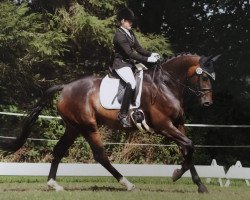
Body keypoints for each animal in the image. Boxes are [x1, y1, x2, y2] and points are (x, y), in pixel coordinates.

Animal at [0, 52, 220, 192]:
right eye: (204, 78)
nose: (208, 103)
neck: (165, 85)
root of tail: (66, 87)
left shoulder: (178, 124)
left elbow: (188, 149)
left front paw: (200, 185)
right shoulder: (164, 126)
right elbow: (189, 146)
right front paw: (176, 174)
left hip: (73, 127)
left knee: (59, 151)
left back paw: (54, 185)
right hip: (88, 126)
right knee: (100, 155)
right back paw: (127, 184)